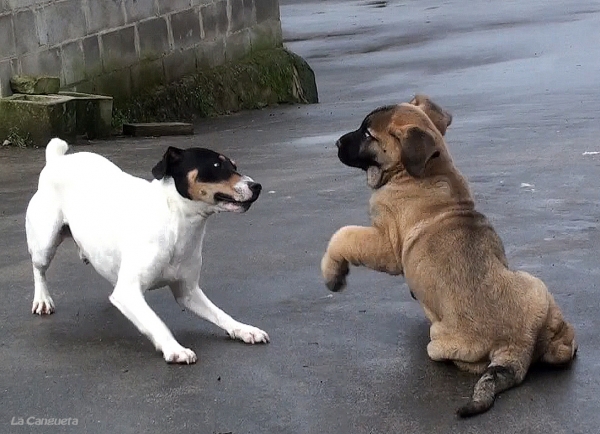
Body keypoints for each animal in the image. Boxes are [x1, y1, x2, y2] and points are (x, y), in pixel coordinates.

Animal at [25, 138, 270, 362]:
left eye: (234, 166)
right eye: (217, 166)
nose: (256, 186)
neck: (176, 222)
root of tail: (56, 160)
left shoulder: (188, 292)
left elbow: (220, 314)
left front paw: (243, 329)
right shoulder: (129, 292)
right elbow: (155, 321)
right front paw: (175, 348)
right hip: (45, 244)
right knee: (39, 269)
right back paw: (42, 299)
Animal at [322, 96, 580, 418]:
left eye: (367, 134)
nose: (335, 142)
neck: (423, 170)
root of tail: (515, 346)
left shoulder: (385, 243)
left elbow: (343, 235)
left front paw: (333, 274)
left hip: (441, 341)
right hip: (537, 288)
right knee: (562, 346)